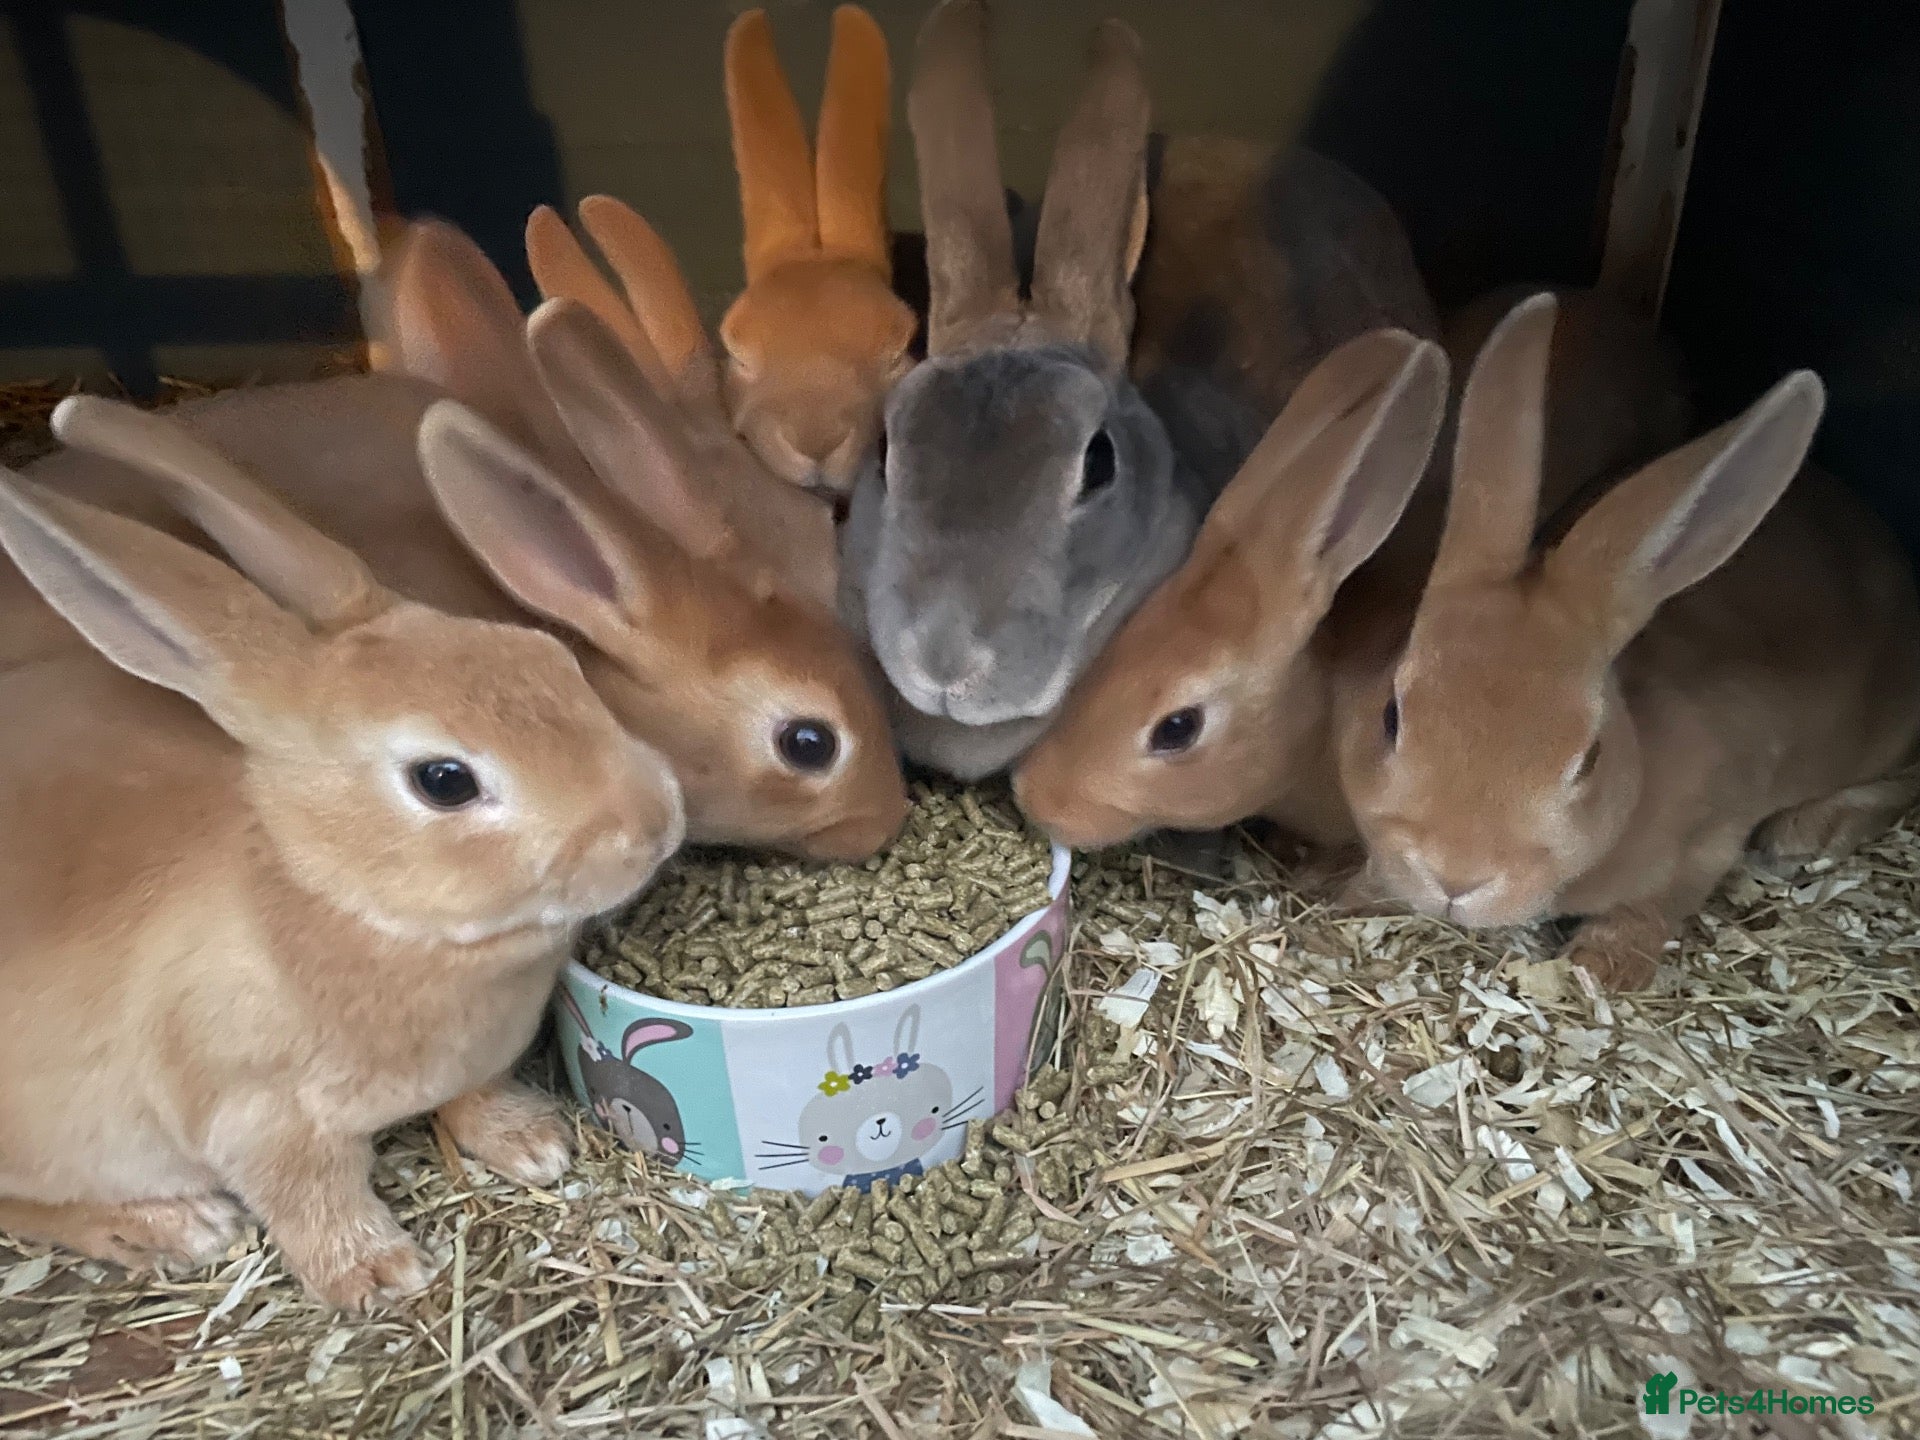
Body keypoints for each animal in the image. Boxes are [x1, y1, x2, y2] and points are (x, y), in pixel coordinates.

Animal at [0, 399, 684, 1310]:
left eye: (551, 658)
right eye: (443, 781)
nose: (658, 822)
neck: (335, 893)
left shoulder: (469, 1063)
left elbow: (473, 1097)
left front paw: (534, 1144)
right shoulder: (256, 1115)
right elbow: (312, 1195)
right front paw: (380, 1272)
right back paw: (172, 1226)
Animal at [1335, 292, 1920, 990]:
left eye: (1588, 758)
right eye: (1392, 717)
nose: (1455, 876)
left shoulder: (1712, 832)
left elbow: (1656, 904)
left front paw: (1600, 969)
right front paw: (1356, 895)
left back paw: (1810, 829)